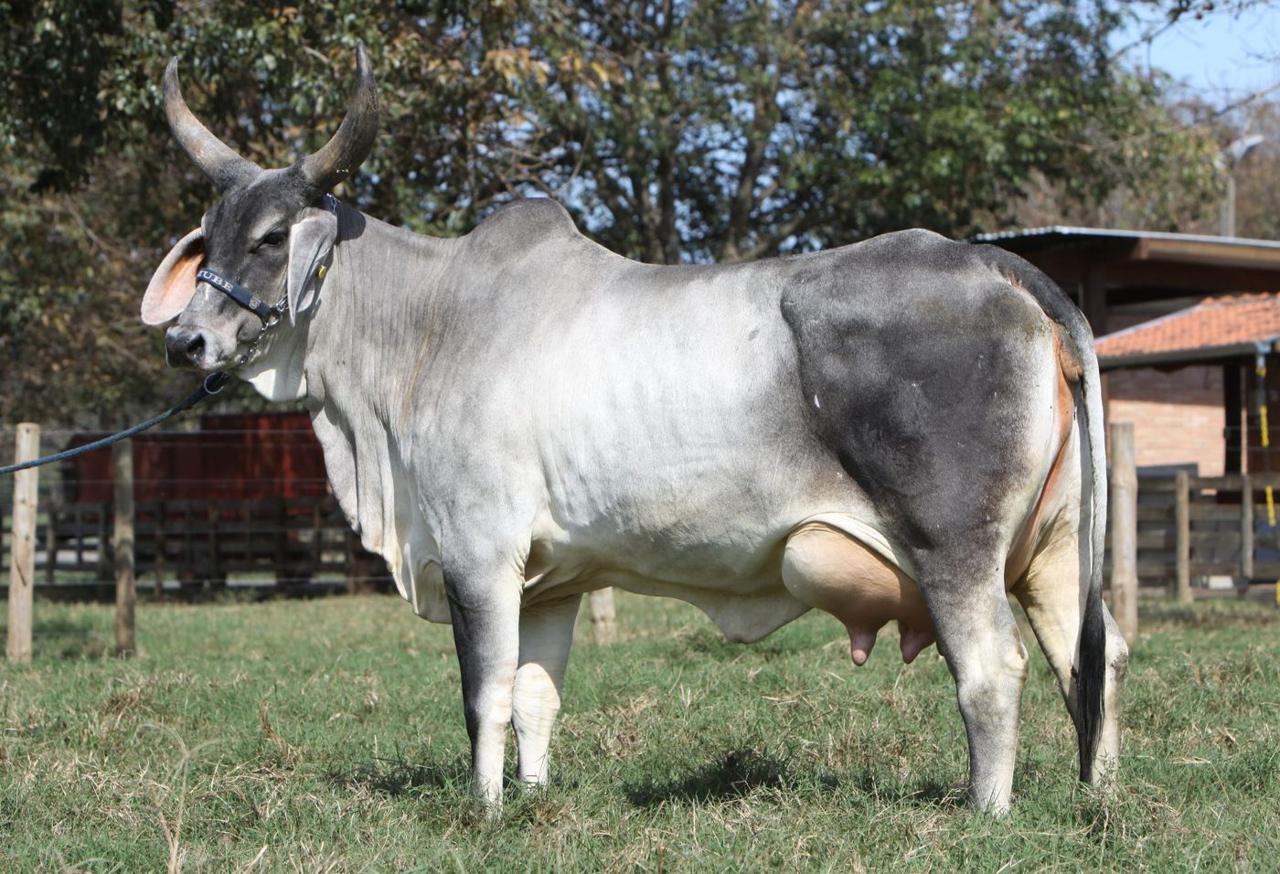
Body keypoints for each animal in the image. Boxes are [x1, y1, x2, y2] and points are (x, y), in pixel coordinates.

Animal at [142, 47, 1128, 814]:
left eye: (273, 238)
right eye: (208, 235)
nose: (187, 340)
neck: (427, 324)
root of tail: (998, 267)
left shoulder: (477, 551)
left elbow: (484, 694)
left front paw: (486, 809)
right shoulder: (549, 581)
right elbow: (536, 696)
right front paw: (534, 798)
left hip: (953, 547)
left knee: (994, 670)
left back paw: (987, 812)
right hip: (1053, 549)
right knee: (1096, 653)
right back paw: (1098, 798)